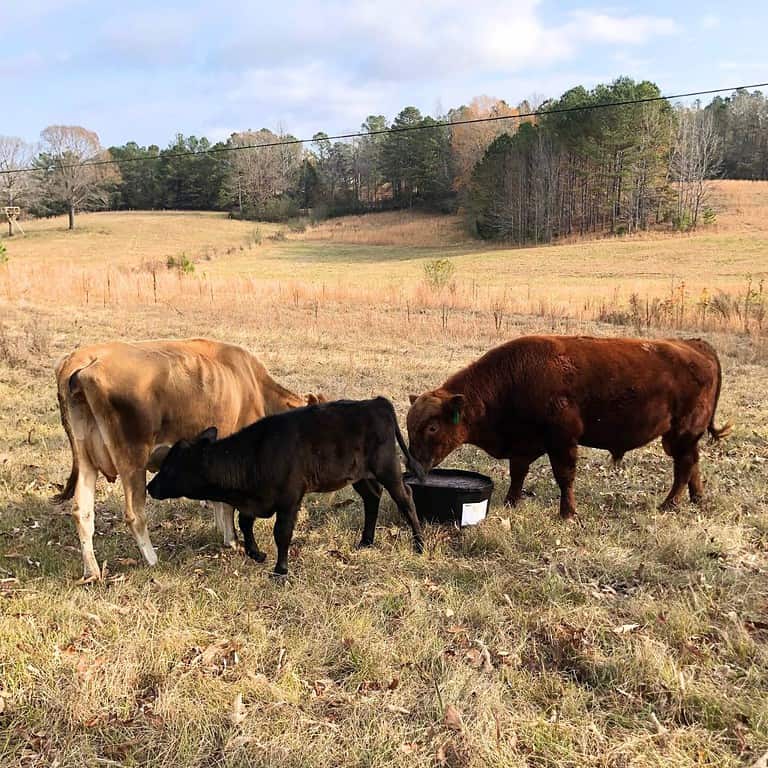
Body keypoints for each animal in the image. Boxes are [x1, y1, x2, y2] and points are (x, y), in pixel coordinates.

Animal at [52, 340, 320, 580]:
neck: (254, 387)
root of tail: (83, 357)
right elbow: (230, 504)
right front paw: (233, 541)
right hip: (132, 460)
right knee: (134, 514)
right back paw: (152, 559)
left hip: (86, 460)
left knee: (82, 513)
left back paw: (92, 572)